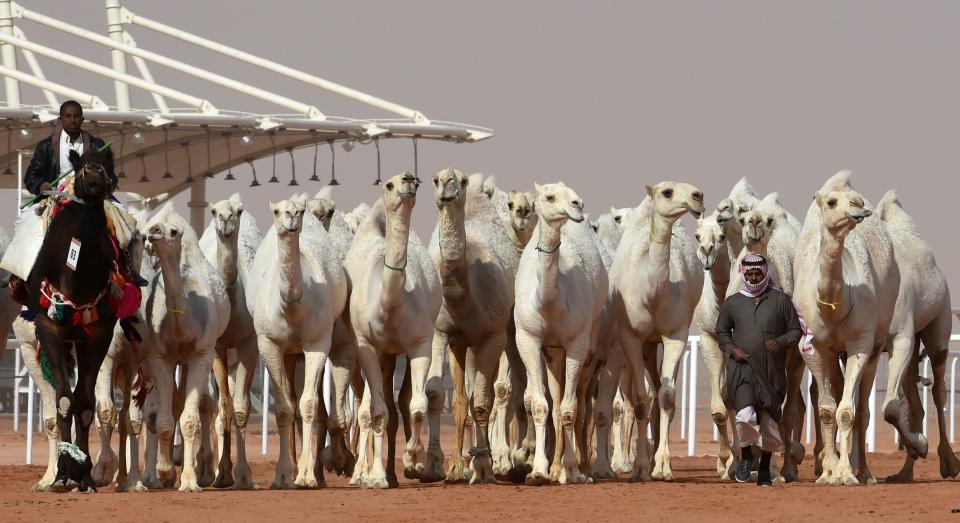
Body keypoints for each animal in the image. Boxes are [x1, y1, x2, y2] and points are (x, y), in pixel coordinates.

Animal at [142, 205, 231, 492]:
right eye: (151, 225)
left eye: (173, 231)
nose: (153, 232)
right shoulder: (160, 356)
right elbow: (164, 419)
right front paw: (164, 470)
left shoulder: (201, 354)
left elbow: (190, 420)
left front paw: (190, 481)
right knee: (175, 404)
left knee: (206, 404)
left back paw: (206, 472)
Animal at [344, 174, 442, 490]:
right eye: (389, 184)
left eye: (417, 181)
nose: (408, 180)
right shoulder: (368, 347)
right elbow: (377, 412)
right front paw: (375, 477)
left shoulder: (420, 343)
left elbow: (417, 405)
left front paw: (414, 459)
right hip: (369, 353)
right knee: (373, 406)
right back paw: (369, 473)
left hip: (396, 354)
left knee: (399, 402)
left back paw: (398, 471)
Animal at [510, 182, 608, 486]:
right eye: (548, 197)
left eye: (574, 195)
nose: (577, 205)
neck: (550, 303)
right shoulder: (528, 339)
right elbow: (542, 406)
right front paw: (539, 471)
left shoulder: (577, 344)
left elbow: (569, 409)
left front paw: (573, 470)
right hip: (553, 353)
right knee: (555, 402)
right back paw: (555, 469)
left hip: (588, 350)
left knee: (579, 406)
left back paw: (577, 470)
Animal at [612, 184, 708, 484]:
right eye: (667, 191)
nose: (698, 196)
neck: (652, 295)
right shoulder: (630, 337)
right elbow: (641, 401)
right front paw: (640, 468)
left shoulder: (675, 334)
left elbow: (666, 397)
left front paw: (662, 466)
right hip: (645, 345)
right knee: (648, 392)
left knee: (660, 391)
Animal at [792, 173, 896, 488]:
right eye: (831, 202)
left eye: (856, 200)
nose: (859, 209)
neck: (834, 306)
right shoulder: (813, 348)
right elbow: (827, 410)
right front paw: (828, 473)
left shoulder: (860, 344)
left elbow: (848, 412)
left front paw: (846, 474)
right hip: (832, 354)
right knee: (836, 395)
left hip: (875, 347)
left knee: (861, 409)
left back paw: (864, 472)